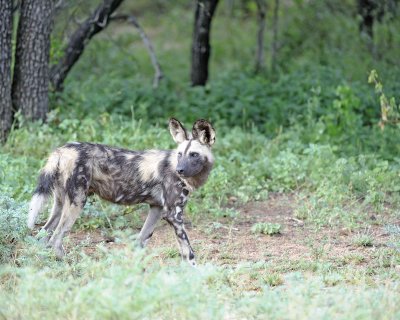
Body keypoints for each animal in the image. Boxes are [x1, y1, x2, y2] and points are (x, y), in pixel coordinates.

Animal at [27, 117, 216, 264]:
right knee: (55, 239)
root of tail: (62, 150)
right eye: (179, 154)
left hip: (60, 203)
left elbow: (141, 241)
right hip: (77, 202)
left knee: (43, 236)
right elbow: (189, 253)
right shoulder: (173, 216)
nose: (179, 170)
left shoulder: (157, 209)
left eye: (193, 154)